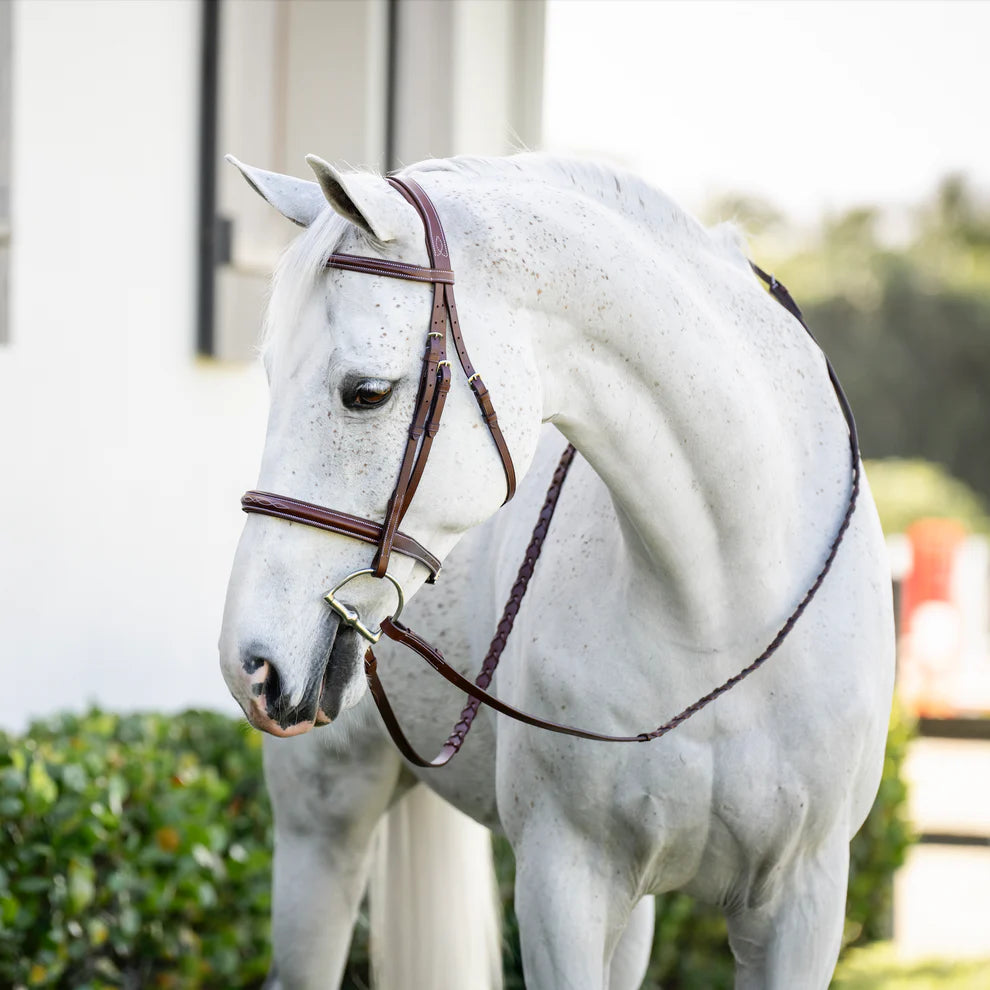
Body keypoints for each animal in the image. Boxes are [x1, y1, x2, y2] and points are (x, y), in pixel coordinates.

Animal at [218, 152, 895, 989]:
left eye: (366, 394)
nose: (250, 663)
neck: (721, 614)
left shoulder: (802, 905)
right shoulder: (564, 883)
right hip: (324, 826)